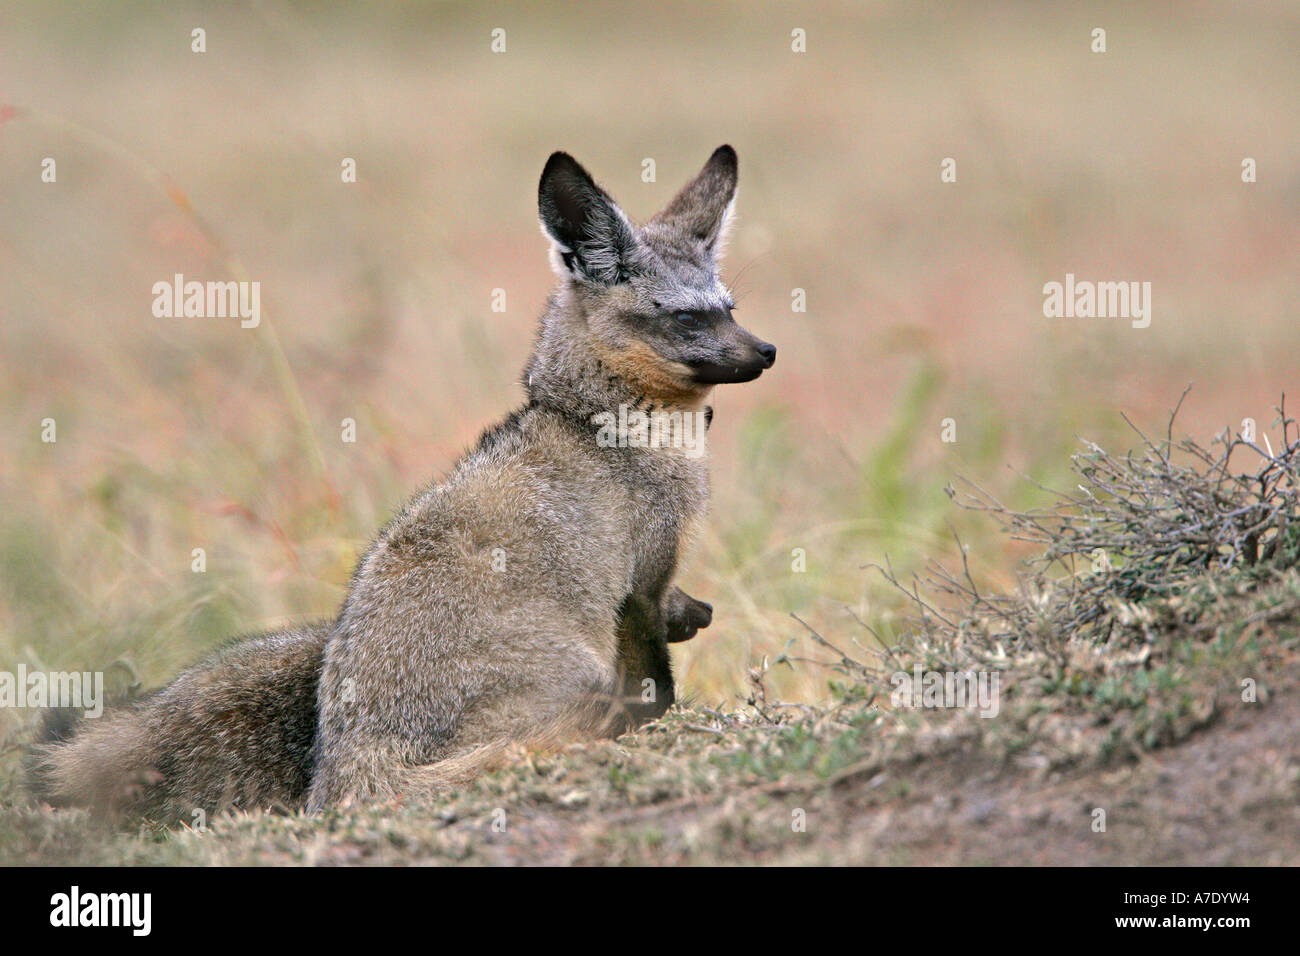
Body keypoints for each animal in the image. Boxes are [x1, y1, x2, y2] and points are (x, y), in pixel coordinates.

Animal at [28, 144, 774, 820]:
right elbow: (658, 685)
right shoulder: (642, 580)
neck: (589, 417)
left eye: (731, 307)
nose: (768, 351)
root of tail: (347, 777)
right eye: (688, 318)